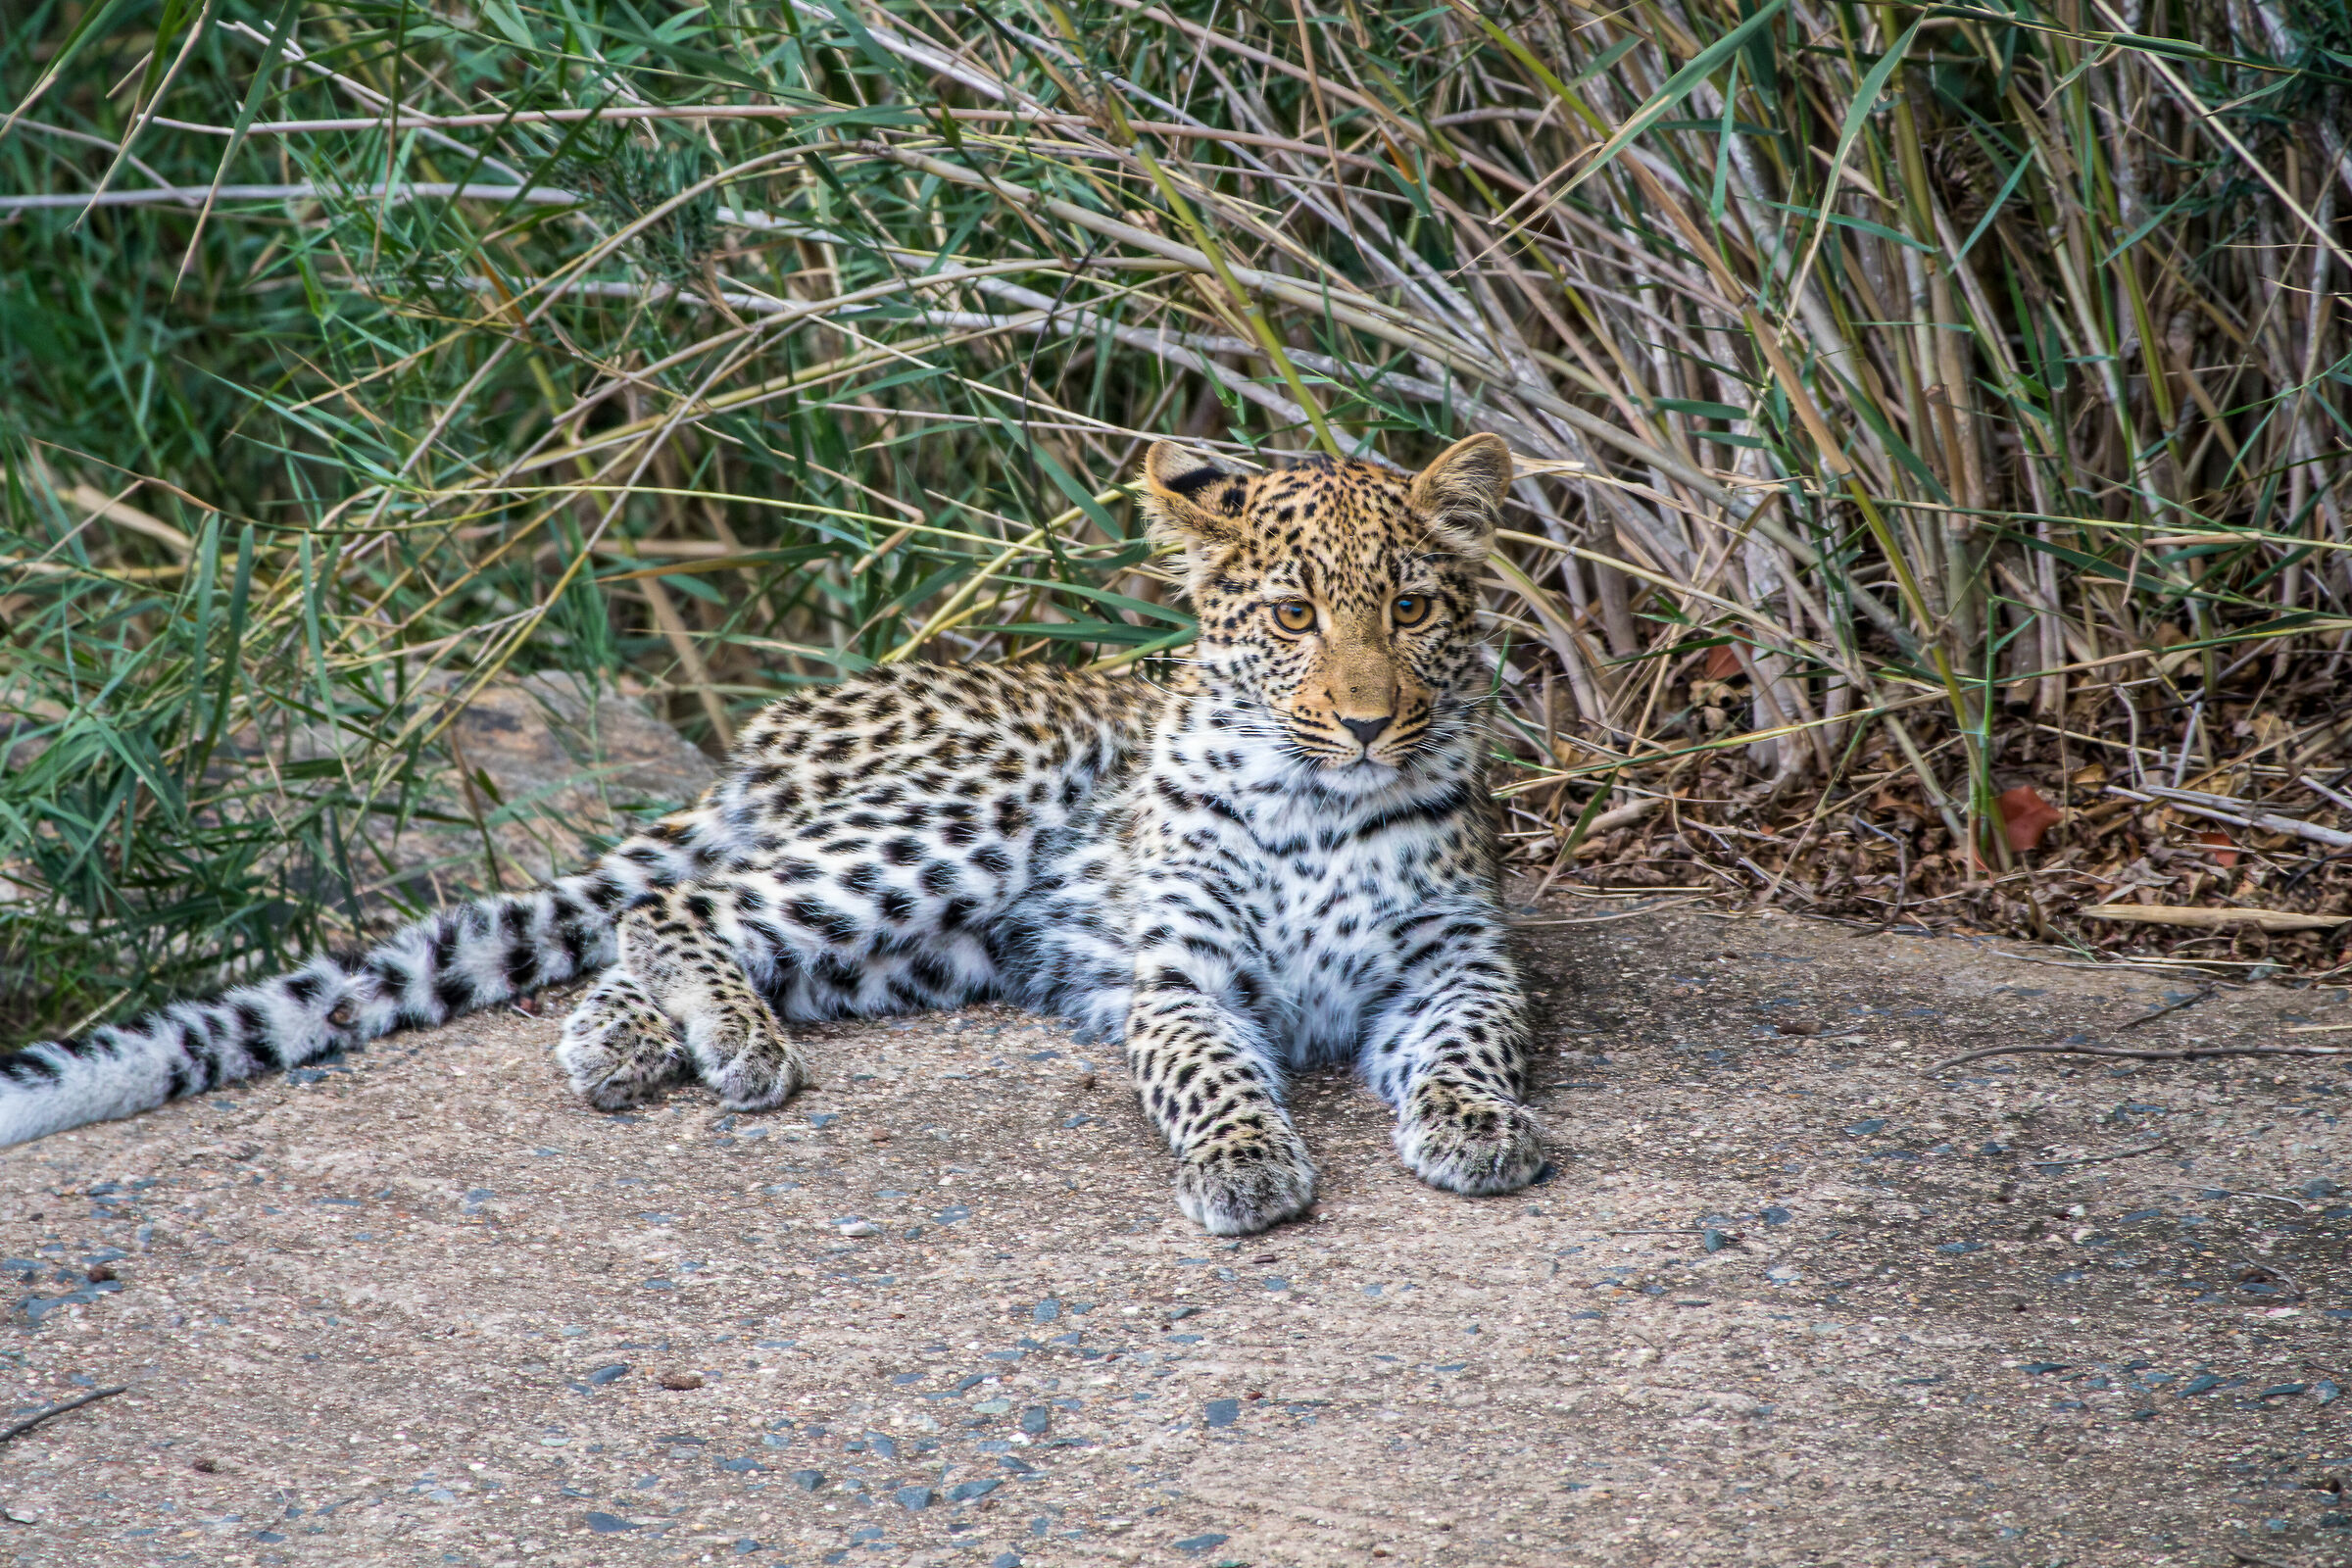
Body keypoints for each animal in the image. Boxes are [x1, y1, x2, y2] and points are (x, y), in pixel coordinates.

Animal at [0, 434, 1547, 1235]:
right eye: (1293, 615)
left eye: (1413, 608)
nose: (1367, 721)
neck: (1323, 812)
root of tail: (789, 723)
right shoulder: (1182, 981)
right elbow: (1209, 1073)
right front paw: (1242, 1163)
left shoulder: (1458, 965)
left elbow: (1470, 1045)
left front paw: (1480, 1128)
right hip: (971, 814)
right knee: (681, 903)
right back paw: (722, 1044)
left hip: (931, 943)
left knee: (686, 929)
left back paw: (627, 1042)